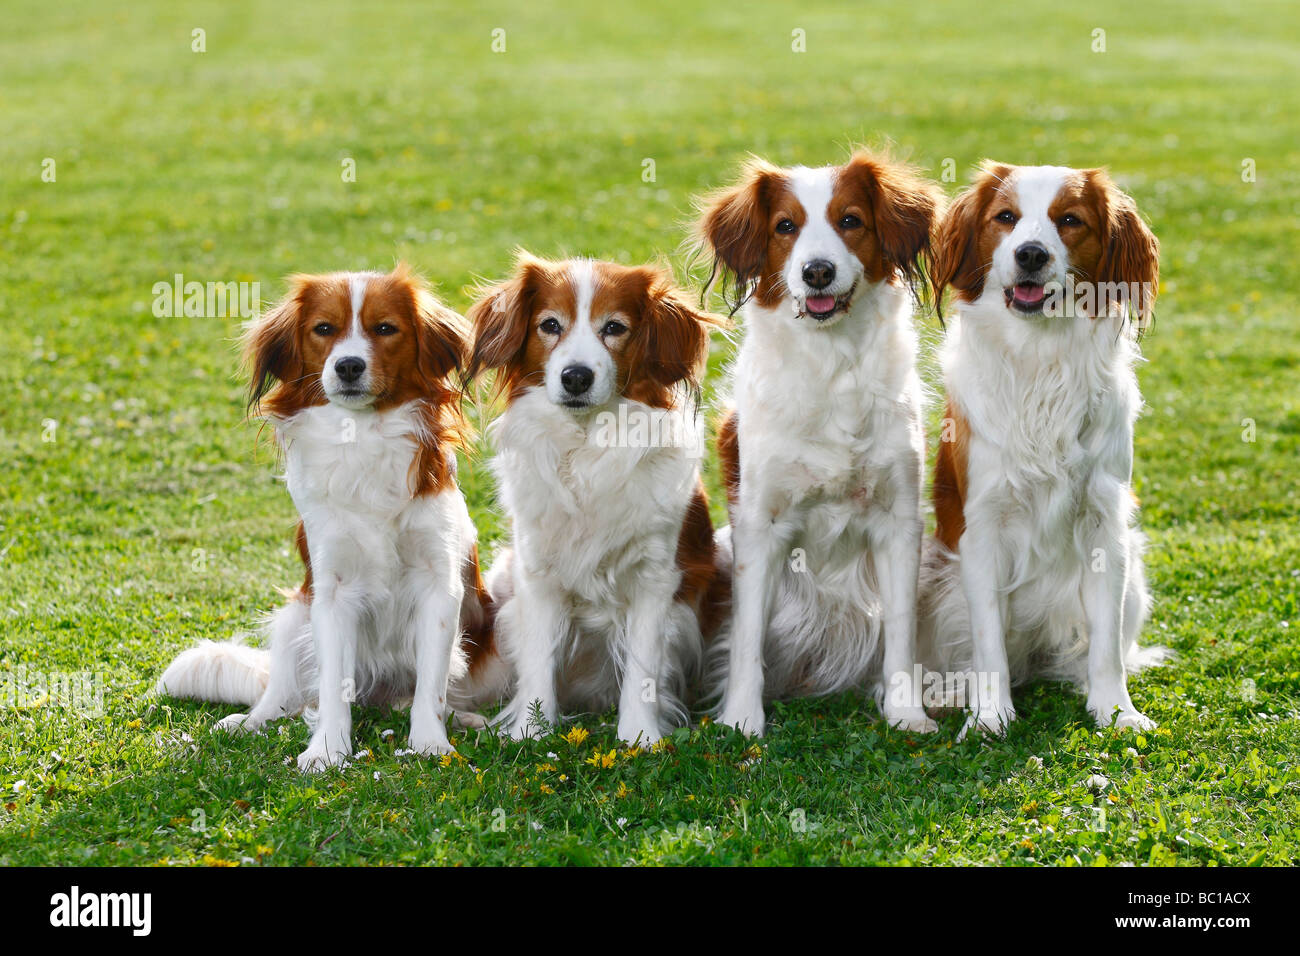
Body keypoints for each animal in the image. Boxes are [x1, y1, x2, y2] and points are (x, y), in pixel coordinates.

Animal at [153, 265, 496, 775]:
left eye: (385, 328)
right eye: (324, 329)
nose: (348, 366)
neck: (364, 437)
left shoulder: (441, 585)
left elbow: (430, 688)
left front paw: (431, 745)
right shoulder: (331, 590)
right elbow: (333, 686)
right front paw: (328, 750)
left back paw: (468, 719)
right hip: (295, 614)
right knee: (284, 693)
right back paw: (249, 721)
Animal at [696, 149, 941, 738]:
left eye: (850, 220)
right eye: (785, 227)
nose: (817, 272)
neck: (833, 367)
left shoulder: (899, 521)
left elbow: (901, 631)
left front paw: (906, 713)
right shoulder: (759, 525)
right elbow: (747, 638)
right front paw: (742, 721)